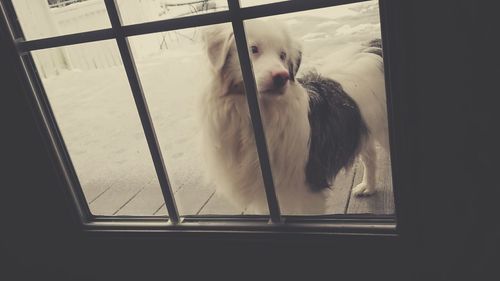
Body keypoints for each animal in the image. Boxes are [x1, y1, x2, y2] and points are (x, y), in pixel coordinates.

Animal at [197, 20, 388, 214]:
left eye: (283, 55)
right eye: (253, 49)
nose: (282, 77)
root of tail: (374, 46)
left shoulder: (308, 189)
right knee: (370, 156)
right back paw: (368, 187)